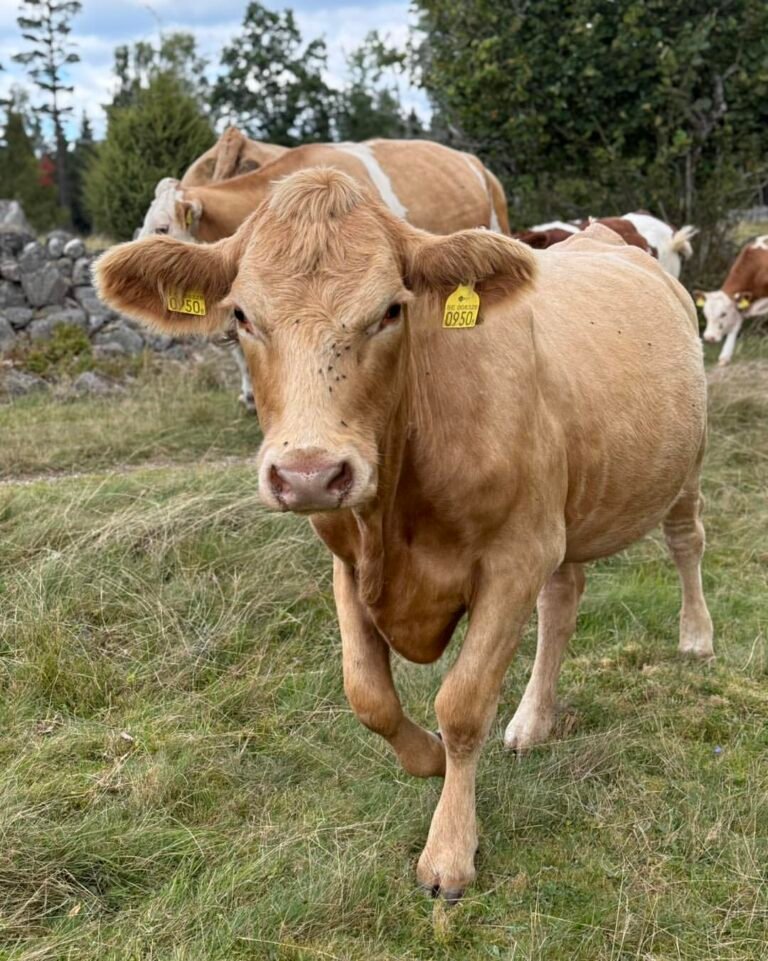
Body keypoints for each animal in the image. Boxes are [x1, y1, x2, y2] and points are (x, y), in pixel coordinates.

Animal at [95, 169, 714, 902]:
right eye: (241, 316)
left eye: (392, 310)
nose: (308, 472)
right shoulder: (348, 557)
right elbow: (368, 695)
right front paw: (427, 758)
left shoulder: (513, 558)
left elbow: (463, 703)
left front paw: (449, 849)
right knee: (563, 599)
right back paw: (532, 720)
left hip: (685, 462)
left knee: (685, 541)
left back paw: (696, 636)